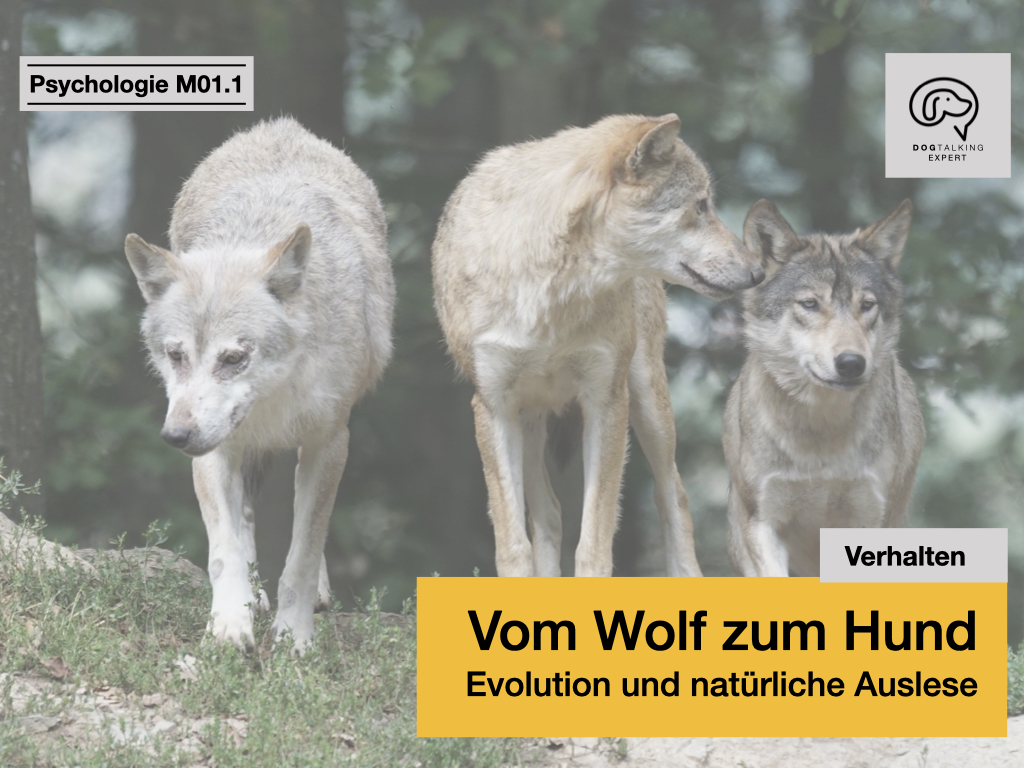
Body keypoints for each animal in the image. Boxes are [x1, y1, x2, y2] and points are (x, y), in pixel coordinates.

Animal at [124, 117, 394, 651]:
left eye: (233, 358)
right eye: (176, 355)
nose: (175, 436)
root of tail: (279, 126)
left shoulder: (330, 442)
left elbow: (303, 553)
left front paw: (294, 638)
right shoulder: (214, 450)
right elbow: (224, 550)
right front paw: (230, 625)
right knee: (245, 518)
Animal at [432, 113, 765, 577]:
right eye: (700, 206)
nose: (758, 272)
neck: (552, 294)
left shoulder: (606, 400)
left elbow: (595, 541)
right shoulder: (493, 406)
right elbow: (512, 545)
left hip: (648, 405)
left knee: (673, 494)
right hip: (529, 419)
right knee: (549, 514)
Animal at [723, 199, 925, 577]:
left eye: (867, 305)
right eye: (810, 304)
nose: (851, 363)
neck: (821, 435)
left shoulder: (869, 519)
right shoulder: (764, 522)